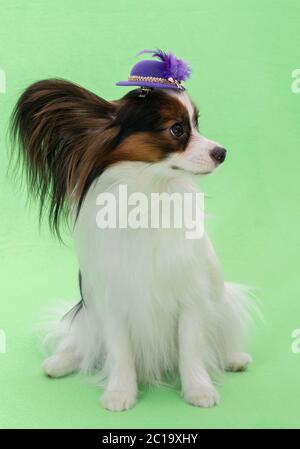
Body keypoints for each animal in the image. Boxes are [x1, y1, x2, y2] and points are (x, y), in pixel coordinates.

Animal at [10, 50, 252, 412]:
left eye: (198, 124)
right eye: (177, 129)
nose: (222, 152)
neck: (149, 193)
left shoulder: (190, 299)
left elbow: (191, 348)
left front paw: (198, 389)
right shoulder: (113, 302)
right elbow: (119, 351)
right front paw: (120, 393)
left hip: (220, 301)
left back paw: (234, 358)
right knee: (84, 343)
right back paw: (61, 362)